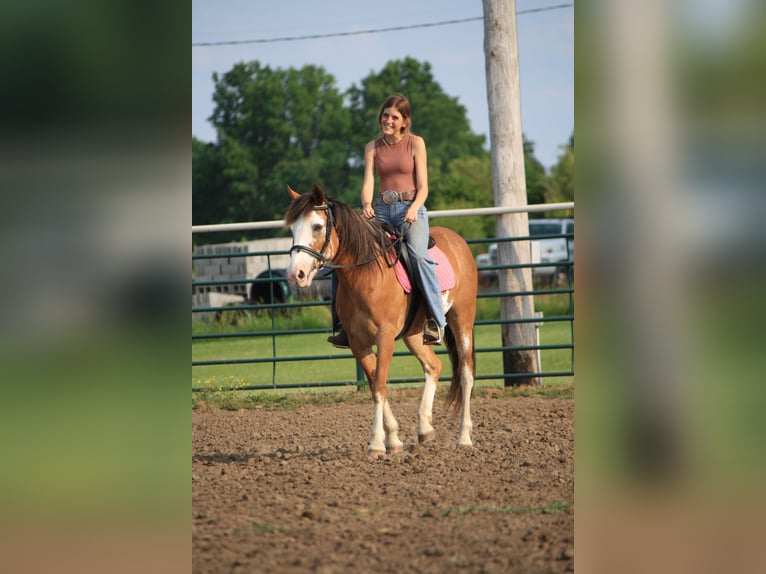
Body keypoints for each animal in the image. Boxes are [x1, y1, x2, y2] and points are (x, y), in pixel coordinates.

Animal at [284, 184, 478, 455]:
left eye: (317, 226)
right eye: (292, 229)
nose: (296, 274)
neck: (367, 276)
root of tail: (458, 241)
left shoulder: (384, 338)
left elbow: (379, 385)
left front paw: (376, 444)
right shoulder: (358, 343)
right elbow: (376, 383)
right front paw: (393, 440)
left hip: (463, 321)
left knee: (466, 373)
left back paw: (464, 437)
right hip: (414, 334)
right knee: (433, 366)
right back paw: (425, 428)